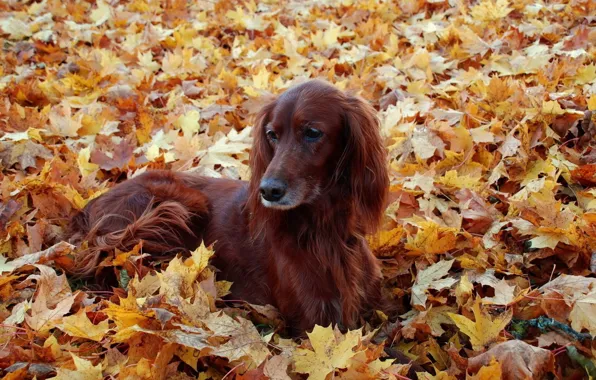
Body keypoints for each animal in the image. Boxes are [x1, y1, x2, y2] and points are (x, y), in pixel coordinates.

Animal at [68, 80, 392, 332]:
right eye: (272, 135)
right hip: (180, 205)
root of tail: (89, 206)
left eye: (313, 132)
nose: (268, 190)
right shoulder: (314, 323)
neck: (325, 228)